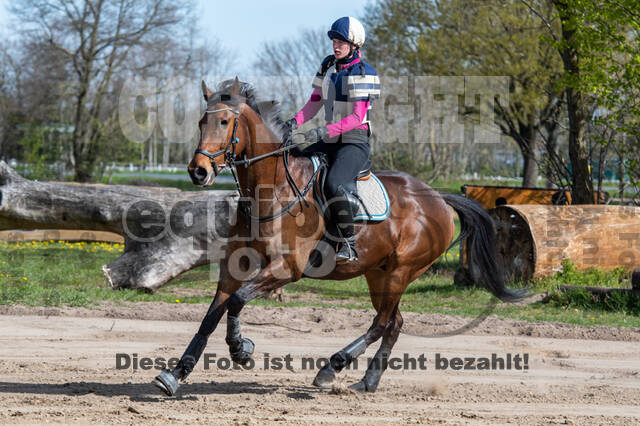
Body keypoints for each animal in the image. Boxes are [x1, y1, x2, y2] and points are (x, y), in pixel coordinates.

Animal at [152, 79, 524, 396]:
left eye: (225, 121)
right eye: (202, 121)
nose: (198, 171)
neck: (272, 190)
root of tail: (439, 198)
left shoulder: (287, 268)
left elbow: (237, 301)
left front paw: (242, 349)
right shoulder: (235, 267)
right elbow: (212, 315)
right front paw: (175, 374)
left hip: (402, 271)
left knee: (382, 322)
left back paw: (332, 367)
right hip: (379, 273)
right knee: (395, 322)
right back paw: (367, 381)